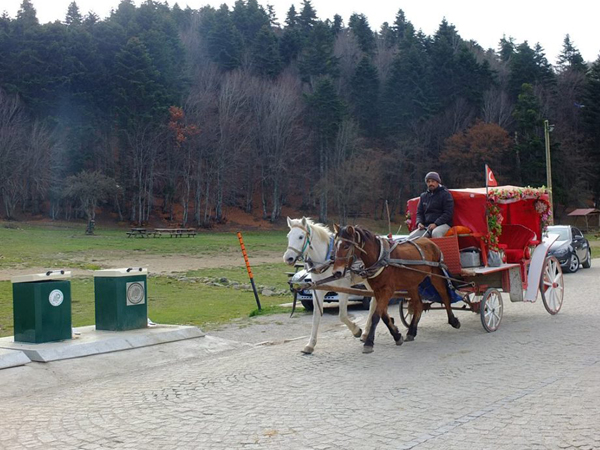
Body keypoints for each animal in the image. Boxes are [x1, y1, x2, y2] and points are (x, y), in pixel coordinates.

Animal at [284, 216, 372, 354]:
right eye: (288, 236)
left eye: (300, 236)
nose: (288, 258)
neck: (327, 260)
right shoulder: (318, 290)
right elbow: (315, 317)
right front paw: (310, 344)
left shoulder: (343, 289)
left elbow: (342, 315)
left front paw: (356, 330)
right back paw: (367, 333)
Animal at [332, 223, 460, 354]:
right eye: (335, 245)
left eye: (346, 246)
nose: (337, 272)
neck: (380, 258)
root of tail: (430, 241)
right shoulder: (377, 291)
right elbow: (383, 315)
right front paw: (397, 336)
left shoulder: (387, 291)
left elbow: (376, 315)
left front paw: (369, 343)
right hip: (411, 284)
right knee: (418, 304)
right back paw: (411, 332)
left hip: (436, 276)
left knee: (445, 296)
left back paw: (453, 320)